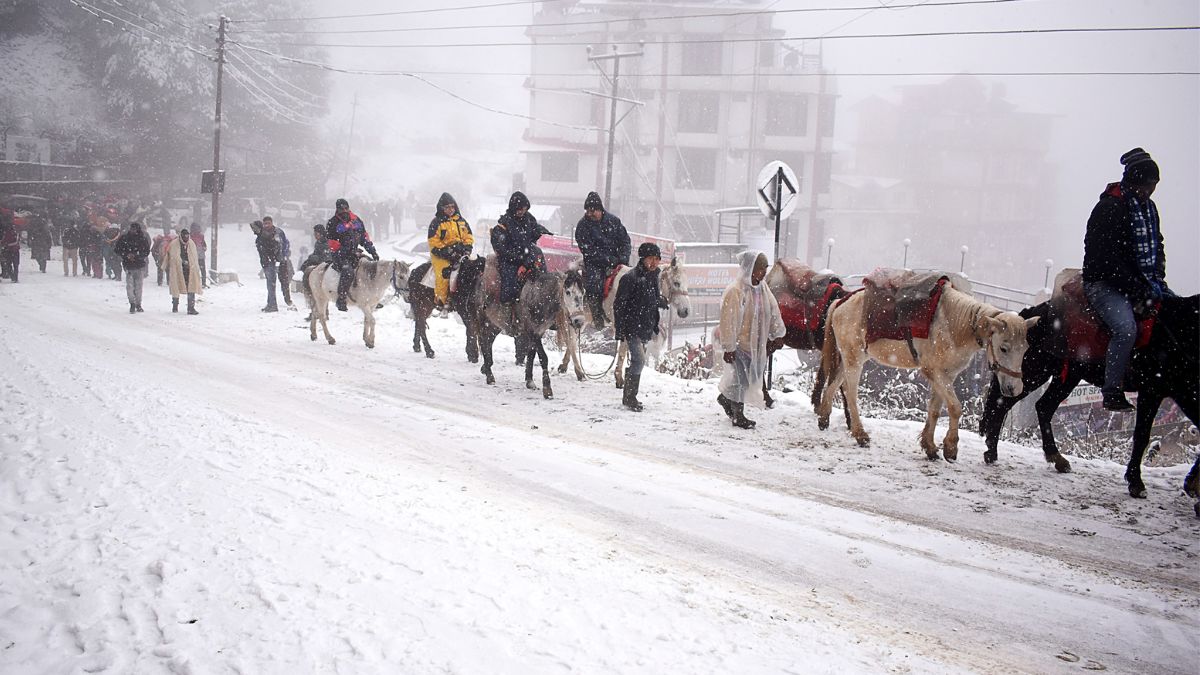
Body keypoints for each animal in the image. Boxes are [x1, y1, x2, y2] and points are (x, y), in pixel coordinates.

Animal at [554, 255, 691, 386]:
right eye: (676, 283)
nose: (686, 311)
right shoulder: (622, 326)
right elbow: (623, 351)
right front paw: (619, 377)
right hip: (573, 316)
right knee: (571, 341)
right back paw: (578, 371)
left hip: (582, 320)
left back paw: (564, 365)